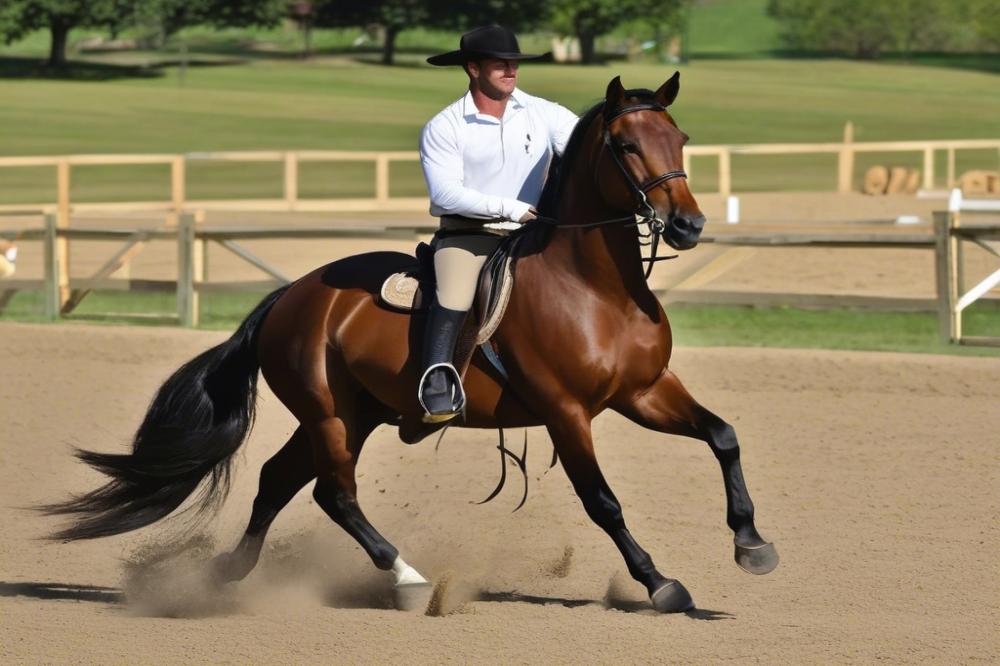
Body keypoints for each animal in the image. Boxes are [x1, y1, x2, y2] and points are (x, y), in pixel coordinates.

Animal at [45, 72, 780, 612]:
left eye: (679, 137)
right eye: (626, 146)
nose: (686, 226)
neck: (596, 287)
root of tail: (290, 296)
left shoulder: (644, 392)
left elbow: (724, 436)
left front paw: (751, 543)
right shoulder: (567, 412)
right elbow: (603, 501)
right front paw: (660, 582)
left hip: (353, 413)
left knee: (278, 480)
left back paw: (230, 572)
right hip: (330, 414)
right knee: (334, 495)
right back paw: (406, 578)